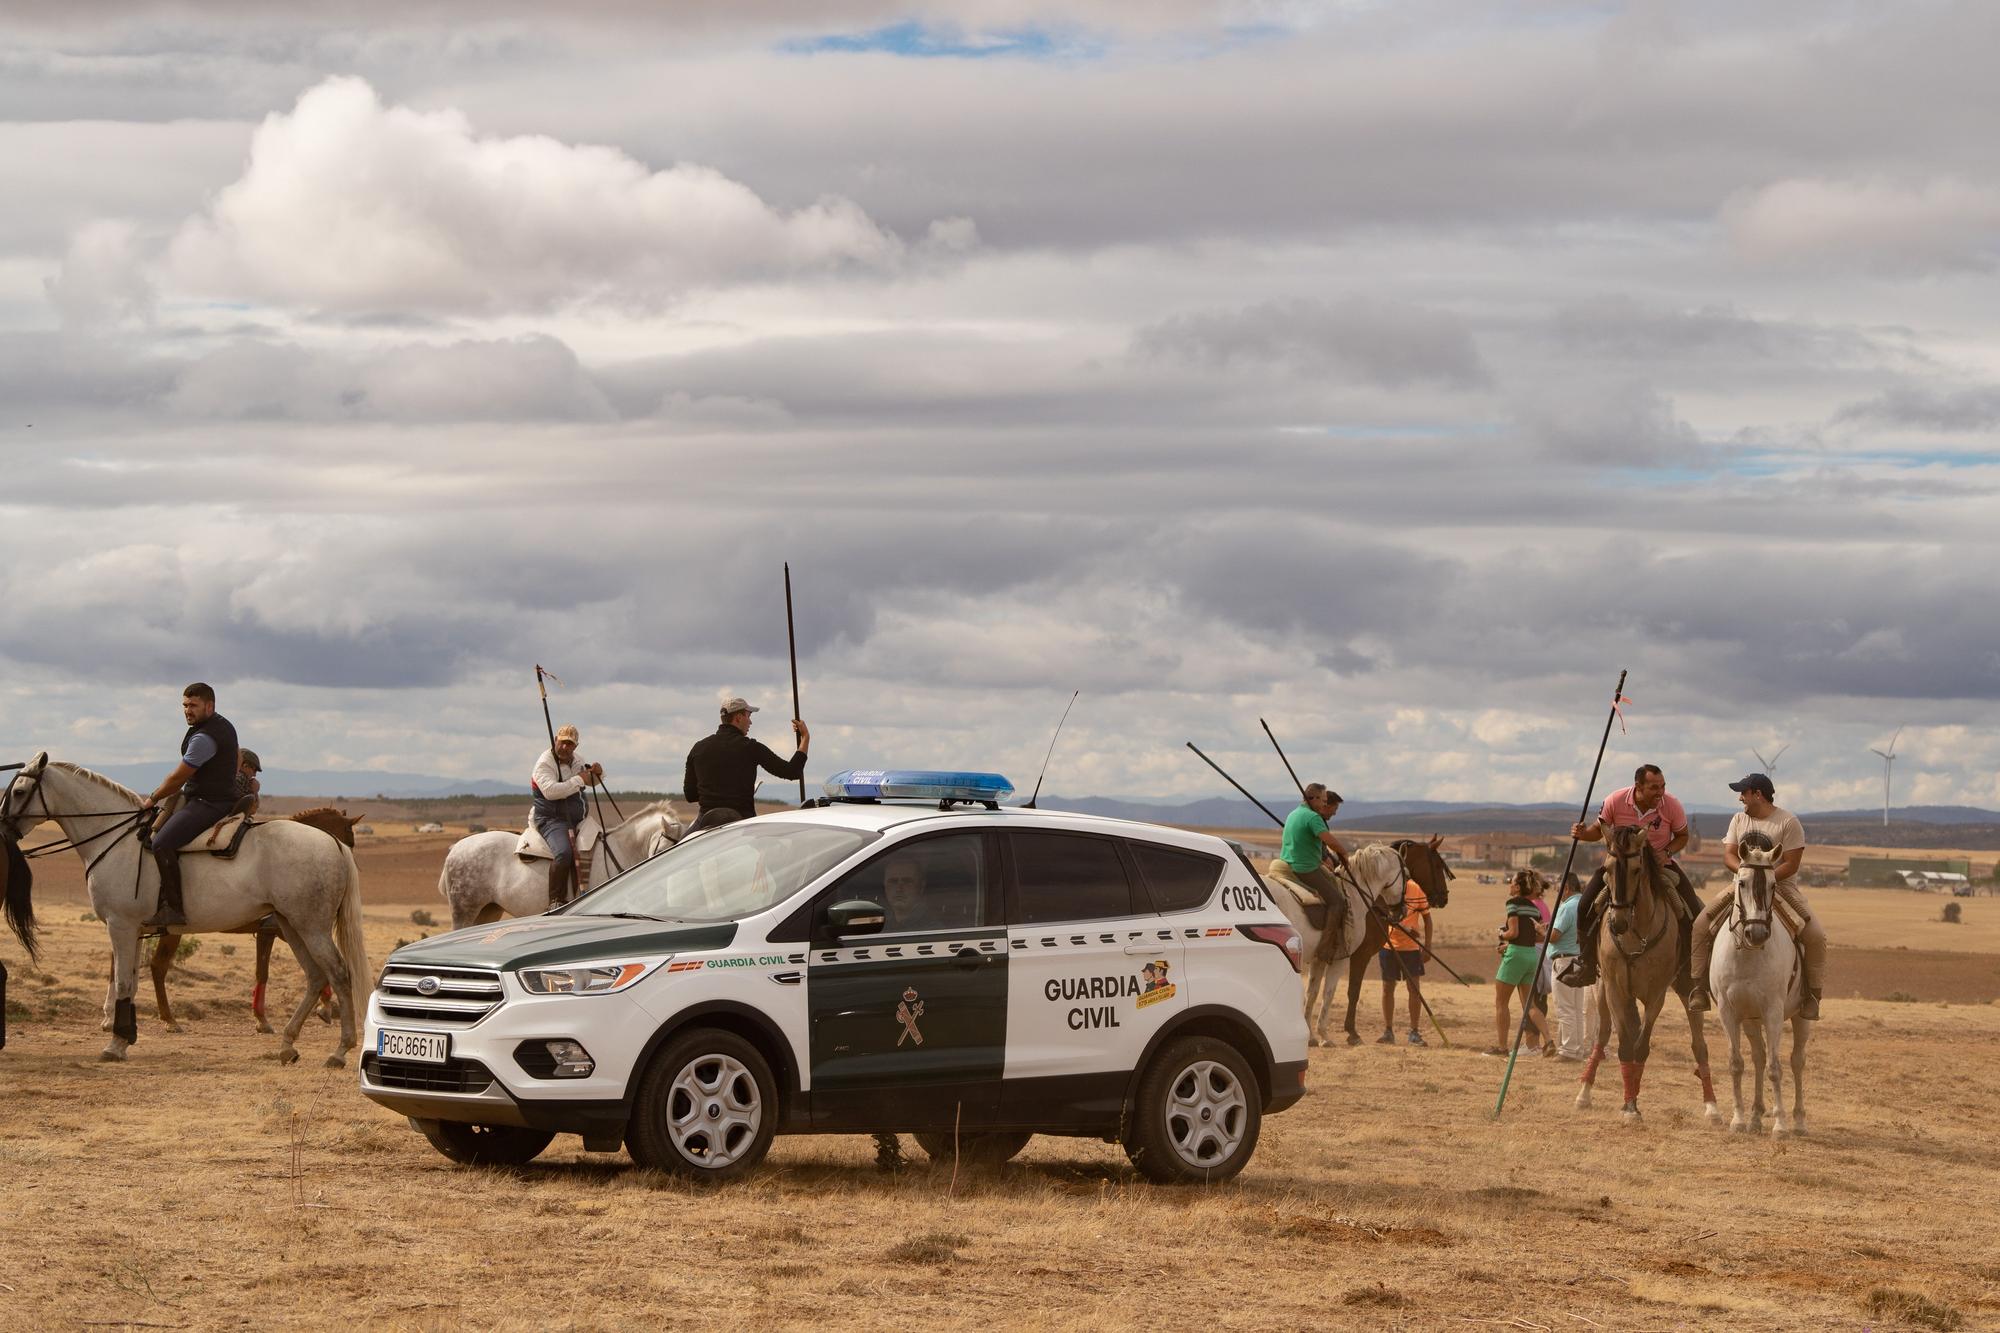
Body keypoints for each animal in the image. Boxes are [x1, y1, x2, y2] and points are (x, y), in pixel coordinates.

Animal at [141, 804, 364, 1032]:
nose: (350, 865)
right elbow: (264, 972)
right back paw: (168, 1019)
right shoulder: (274, 931)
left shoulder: (277, 931)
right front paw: (320, 1007)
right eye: (351, 839)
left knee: (155, 966)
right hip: (172, 932)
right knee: (158, 967)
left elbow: (265, 972)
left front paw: (263, 1018)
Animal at [1568, 824, 1712, 1112]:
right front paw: (1629, 1105)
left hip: (1685, 989)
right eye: (1608, 868)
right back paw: (1584, 1094)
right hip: (1603, 991)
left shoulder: (1656, 995)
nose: (1618, 922)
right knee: (1601, 1038)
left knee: (1699, 1045)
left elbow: (1641, 1046)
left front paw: (1632, 1105)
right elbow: (1625, 1045)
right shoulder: (1615, 990)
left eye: (1636, 869)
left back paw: (1712, 1108)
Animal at [1704, 832, 1816, 1128]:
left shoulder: (1773, 1011)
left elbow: (1775, 1068)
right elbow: (1737, 1064)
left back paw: (1799, 1121)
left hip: (1800, 1017)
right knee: (1758, 1057)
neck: (1747, 955)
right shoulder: (1729, 1012)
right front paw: (1739, 1120)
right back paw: (1755, 1116)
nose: (1756, 933)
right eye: (1741, 882)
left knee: (1796, 1060)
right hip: (1751, 1020)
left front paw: (1781, 1125)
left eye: (1773, 884)